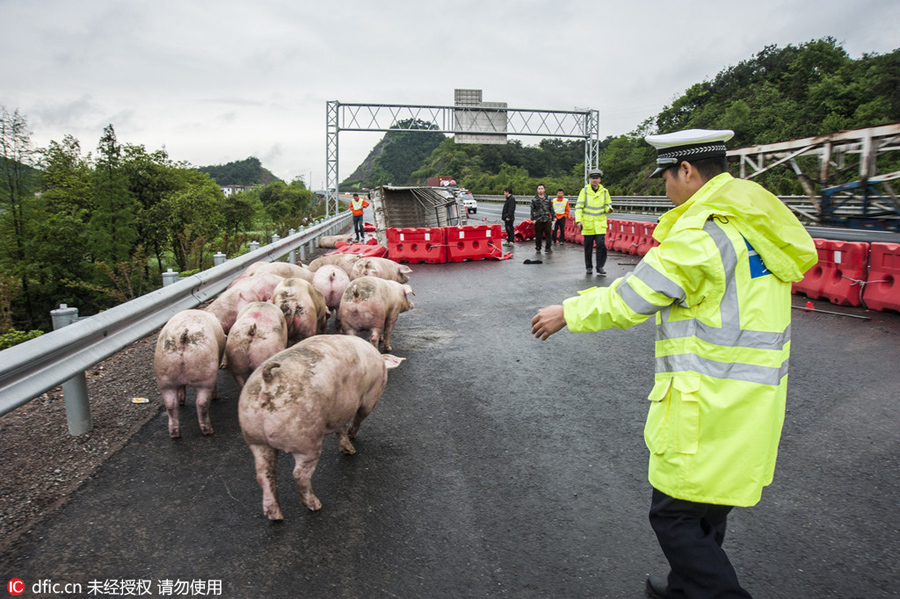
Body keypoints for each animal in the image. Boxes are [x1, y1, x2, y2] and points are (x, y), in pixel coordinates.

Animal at [241, 336, 406, 516]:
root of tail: (269, 381)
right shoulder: (371, 396)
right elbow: (359, 417)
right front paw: (352, 437)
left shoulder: (339, 412)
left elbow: (340, 429)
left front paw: (349, 450)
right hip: (306, 440)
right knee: (299, 474)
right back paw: (315, 505)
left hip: (255, 437)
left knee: (264, 474)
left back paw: (275, 515)